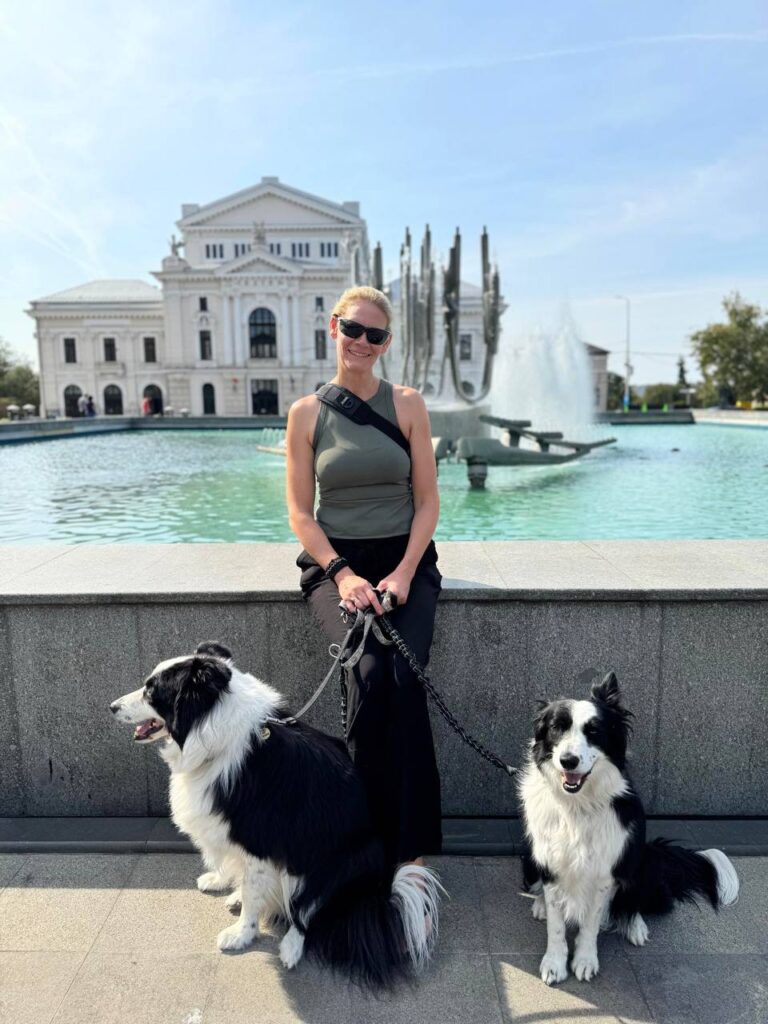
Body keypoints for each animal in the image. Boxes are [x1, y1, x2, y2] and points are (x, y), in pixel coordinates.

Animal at [111, 643, 442, 987]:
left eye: (152, 691)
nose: (111, 707)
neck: (214, 731)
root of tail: (371, 894)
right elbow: (238, 872)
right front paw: (222, 883)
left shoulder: (260, 840)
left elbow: (258, 890)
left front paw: (241, 935)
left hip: (329, 862)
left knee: (306, 910)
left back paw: (291, 947)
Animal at [520, 671, 741, 983]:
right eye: (556, 728)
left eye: (594, 731)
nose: (568, 761)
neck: (577, 804)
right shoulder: (551, 858)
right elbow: (556, 924)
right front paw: (554, 962)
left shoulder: (604, 869)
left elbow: (590, 923)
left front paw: (585, 960)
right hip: (529, 856)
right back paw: (539, 902)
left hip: (640, 857)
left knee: (634, 900)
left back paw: (636, 926)